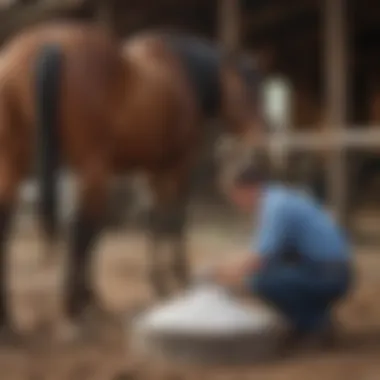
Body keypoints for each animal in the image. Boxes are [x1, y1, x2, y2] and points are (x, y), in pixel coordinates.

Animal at [0, 23, 264, 336]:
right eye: (246, 88)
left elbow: (150, 222)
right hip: (91, 168)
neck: (183, 74)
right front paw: (177, 279)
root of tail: (47, 45)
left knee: (17, 228)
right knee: (80, 229)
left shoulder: (150, 171)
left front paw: (154, 282)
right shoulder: (177, 166)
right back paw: (74, 310)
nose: (260, 139)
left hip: (17, 166)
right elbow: (173, 220)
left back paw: (14, 321)